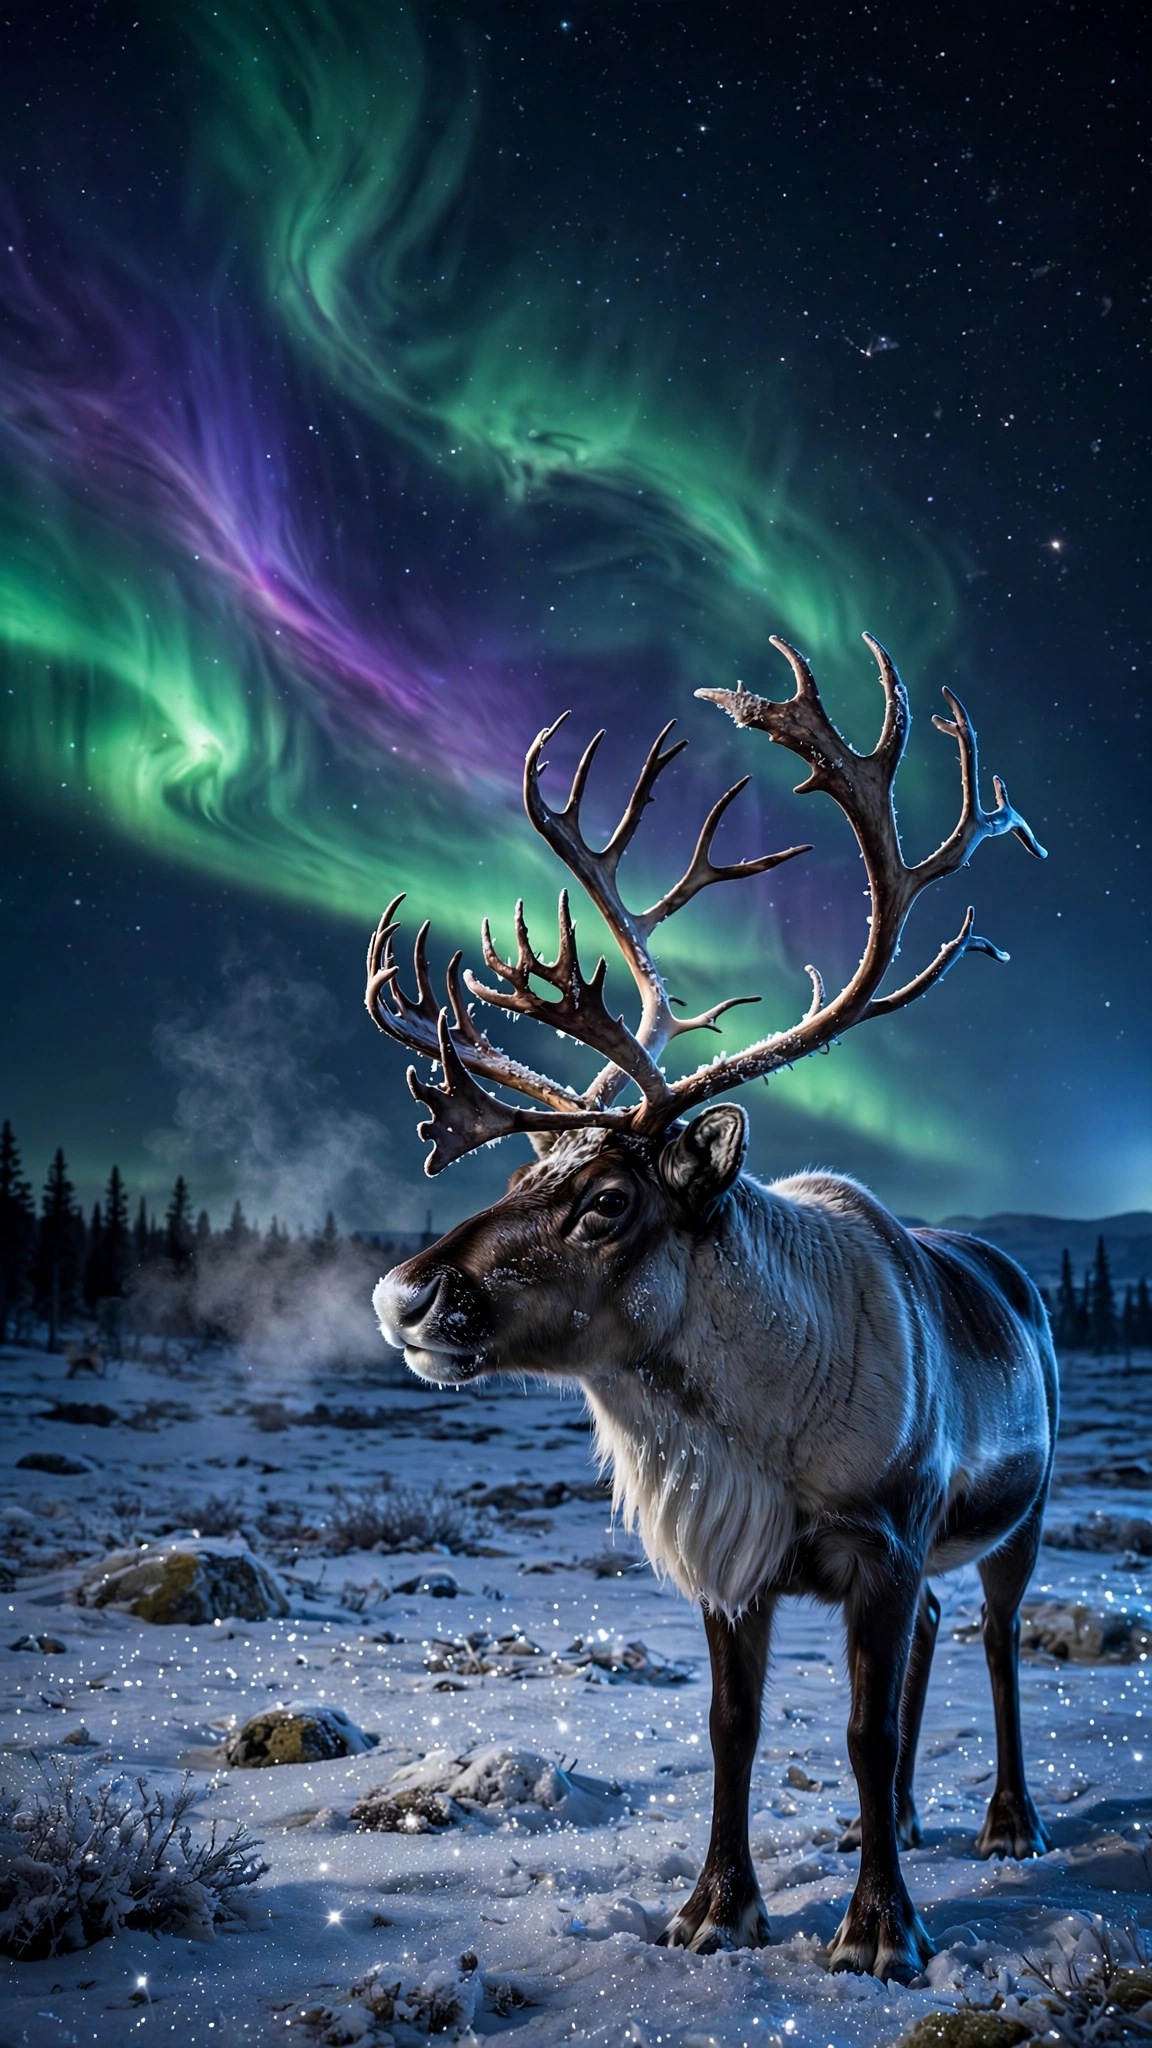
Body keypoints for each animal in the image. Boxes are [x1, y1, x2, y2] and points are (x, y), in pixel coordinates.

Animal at [366, 633, 1056, 1984]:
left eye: (606, 1199)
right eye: (516, 1177)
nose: (402, 1294)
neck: (752, 1431)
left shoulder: (887, 1538)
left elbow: (856, 1726)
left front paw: (879, 1928)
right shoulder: (734, 1570)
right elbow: (731, 1723)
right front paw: (714, 1907)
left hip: (1019, 1513)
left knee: (996, 1638)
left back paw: (1006, 1818)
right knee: (937, 1638)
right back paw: (902, 1817)